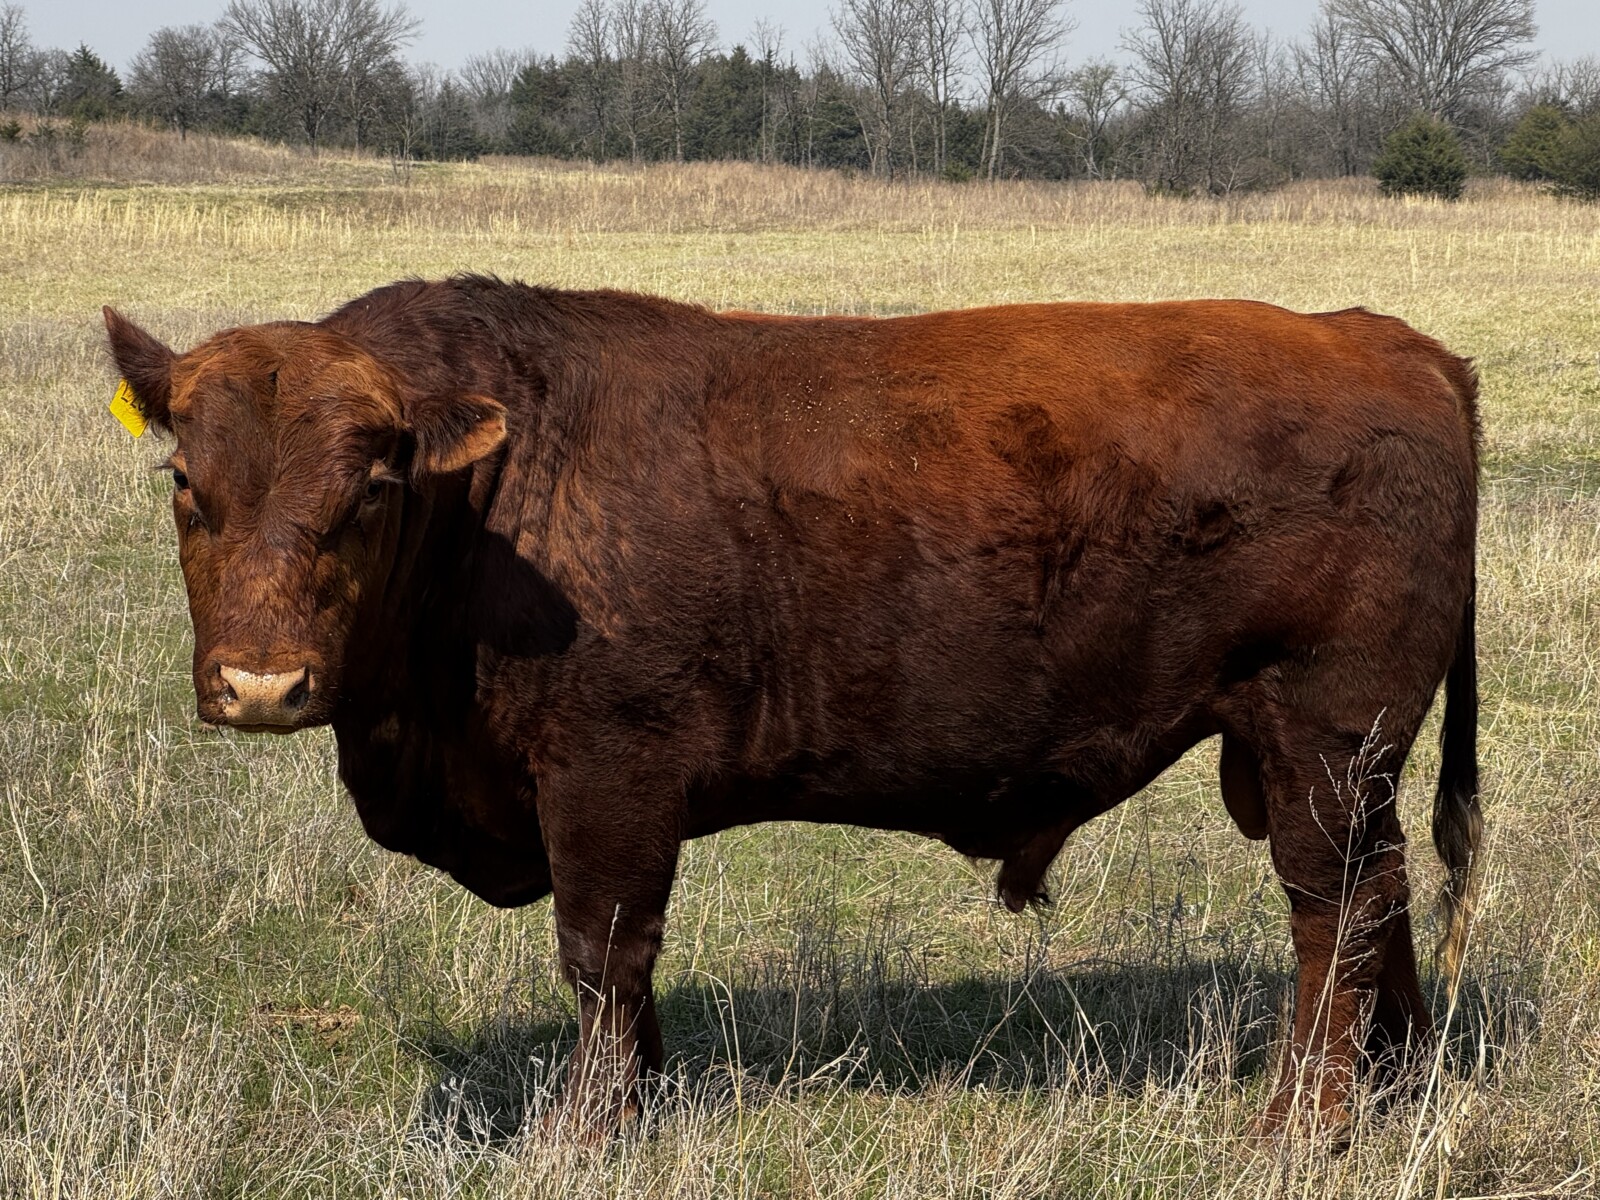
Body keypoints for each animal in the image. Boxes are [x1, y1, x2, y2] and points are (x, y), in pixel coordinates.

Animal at [103, 276, 1481, 1136]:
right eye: (184, 479)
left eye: (373, 487)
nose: (263, 683)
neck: (498, 497)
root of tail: (1385, 341)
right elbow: (626, 972)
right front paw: (643, 1101)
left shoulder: (609, 779)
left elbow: (603, 950)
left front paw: (586, 1130)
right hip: (1342, 759)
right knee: (1385, 895)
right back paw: (1401, 1087)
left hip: (1318, 742)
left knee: (1333, 911)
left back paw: (1303, 1123)